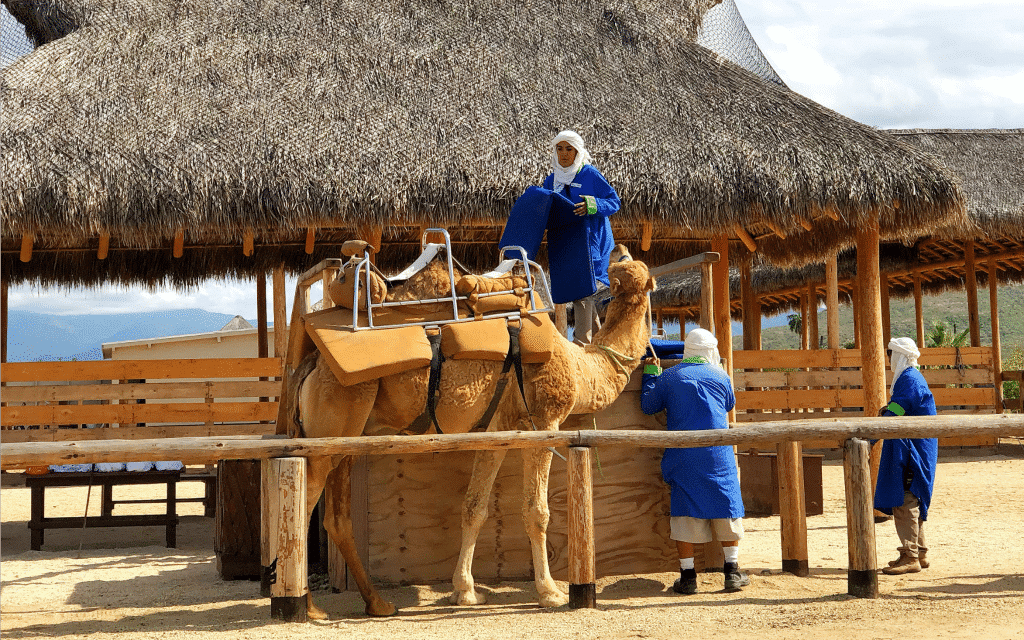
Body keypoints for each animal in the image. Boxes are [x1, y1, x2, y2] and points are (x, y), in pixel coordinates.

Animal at [292, 257, 651, 618]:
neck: (580, 369)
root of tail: (311, 364)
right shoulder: (543, 419)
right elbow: (536, 511)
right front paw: (550, 592)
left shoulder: (497, 432)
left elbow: (474, 508)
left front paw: (465, 591)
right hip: (331, 425)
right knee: (303, 505)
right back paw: (308, 606)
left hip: (347, 439)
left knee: (336, 517)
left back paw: (377, 603)